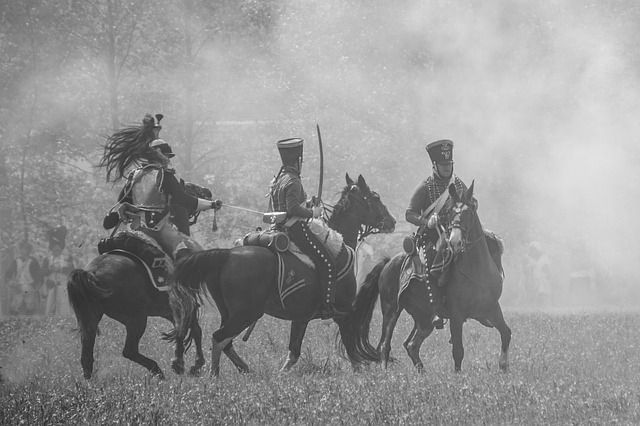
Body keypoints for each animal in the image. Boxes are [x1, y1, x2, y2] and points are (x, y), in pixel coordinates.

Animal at [67, 233, 205, 380]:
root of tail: (92, 273)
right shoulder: (184, 307)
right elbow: (193, 330)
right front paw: (191, 365)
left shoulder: (171, 311)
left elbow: (184, 330)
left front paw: (182, 364)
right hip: (137, 319)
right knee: (129, 351)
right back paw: (158, 371)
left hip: (93, 318)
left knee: (87, 352)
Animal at [165, 172, 396, 372]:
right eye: (374, 197)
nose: (392, 222)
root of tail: (227, 254)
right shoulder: (343, 312)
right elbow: (351, 349)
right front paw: (360, 374)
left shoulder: (301, 318)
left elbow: (293, 354)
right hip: (245, 314)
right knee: (219, 338)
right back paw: (215, 376)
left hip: (229, 313)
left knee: (226, 342)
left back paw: (243, 369)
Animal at [360, 181, 510, 372]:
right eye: (451, 212)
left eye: (469, 212)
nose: (455, 241)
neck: (476, 269)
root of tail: (388, 262)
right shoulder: (456, 313)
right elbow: (458, 350)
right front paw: (458, 376)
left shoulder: (492, 307)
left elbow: (506, 333)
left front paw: (504, 367)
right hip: (391, 310)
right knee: (384, 345)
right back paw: (386, 373)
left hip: (424, 318)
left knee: (411, 345)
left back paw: (422, 373)